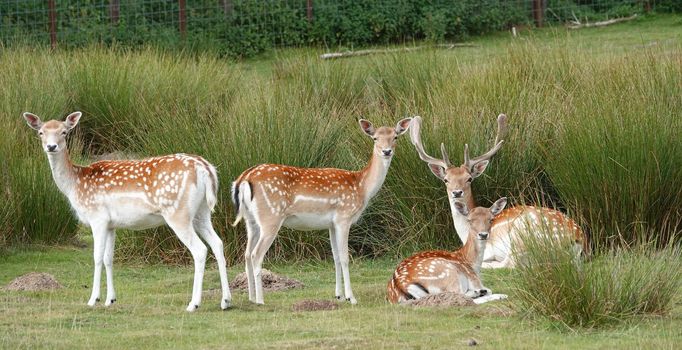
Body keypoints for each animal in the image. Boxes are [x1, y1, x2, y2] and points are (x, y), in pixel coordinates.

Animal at [23, 111, 231, 312]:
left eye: (64, 132)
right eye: (41, 132)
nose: (51, 146)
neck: (75, 185)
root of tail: (206, 170)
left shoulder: (97, 217)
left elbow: (97, 257)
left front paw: (93, 300)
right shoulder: (111, 225)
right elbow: (108, 258)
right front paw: (110, 300)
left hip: (178, 213)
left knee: (200, 250)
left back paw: (193, 304)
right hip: (201, 212)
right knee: (218, 243)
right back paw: (226, 301)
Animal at [231, 117, 412, 304]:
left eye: (395, 137)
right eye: (375, 138)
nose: (387, 151)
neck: (362, 187)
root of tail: (244, 179)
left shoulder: (331, 224)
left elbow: (336, 257)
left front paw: (339, 295)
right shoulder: (344, 217)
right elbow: (345, 258)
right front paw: (351, 297)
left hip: (251, 220)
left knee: (247, 254)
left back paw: (251, 298)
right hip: (270, 217)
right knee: (256, 255)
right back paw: (260, 300)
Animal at [406, 115, 580, 268]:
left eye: (469, 178)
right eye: (446, 179)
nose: (457, 192)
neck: (465, 233)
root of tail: (579, 240)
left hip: (522, 234)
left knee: (509, 264)